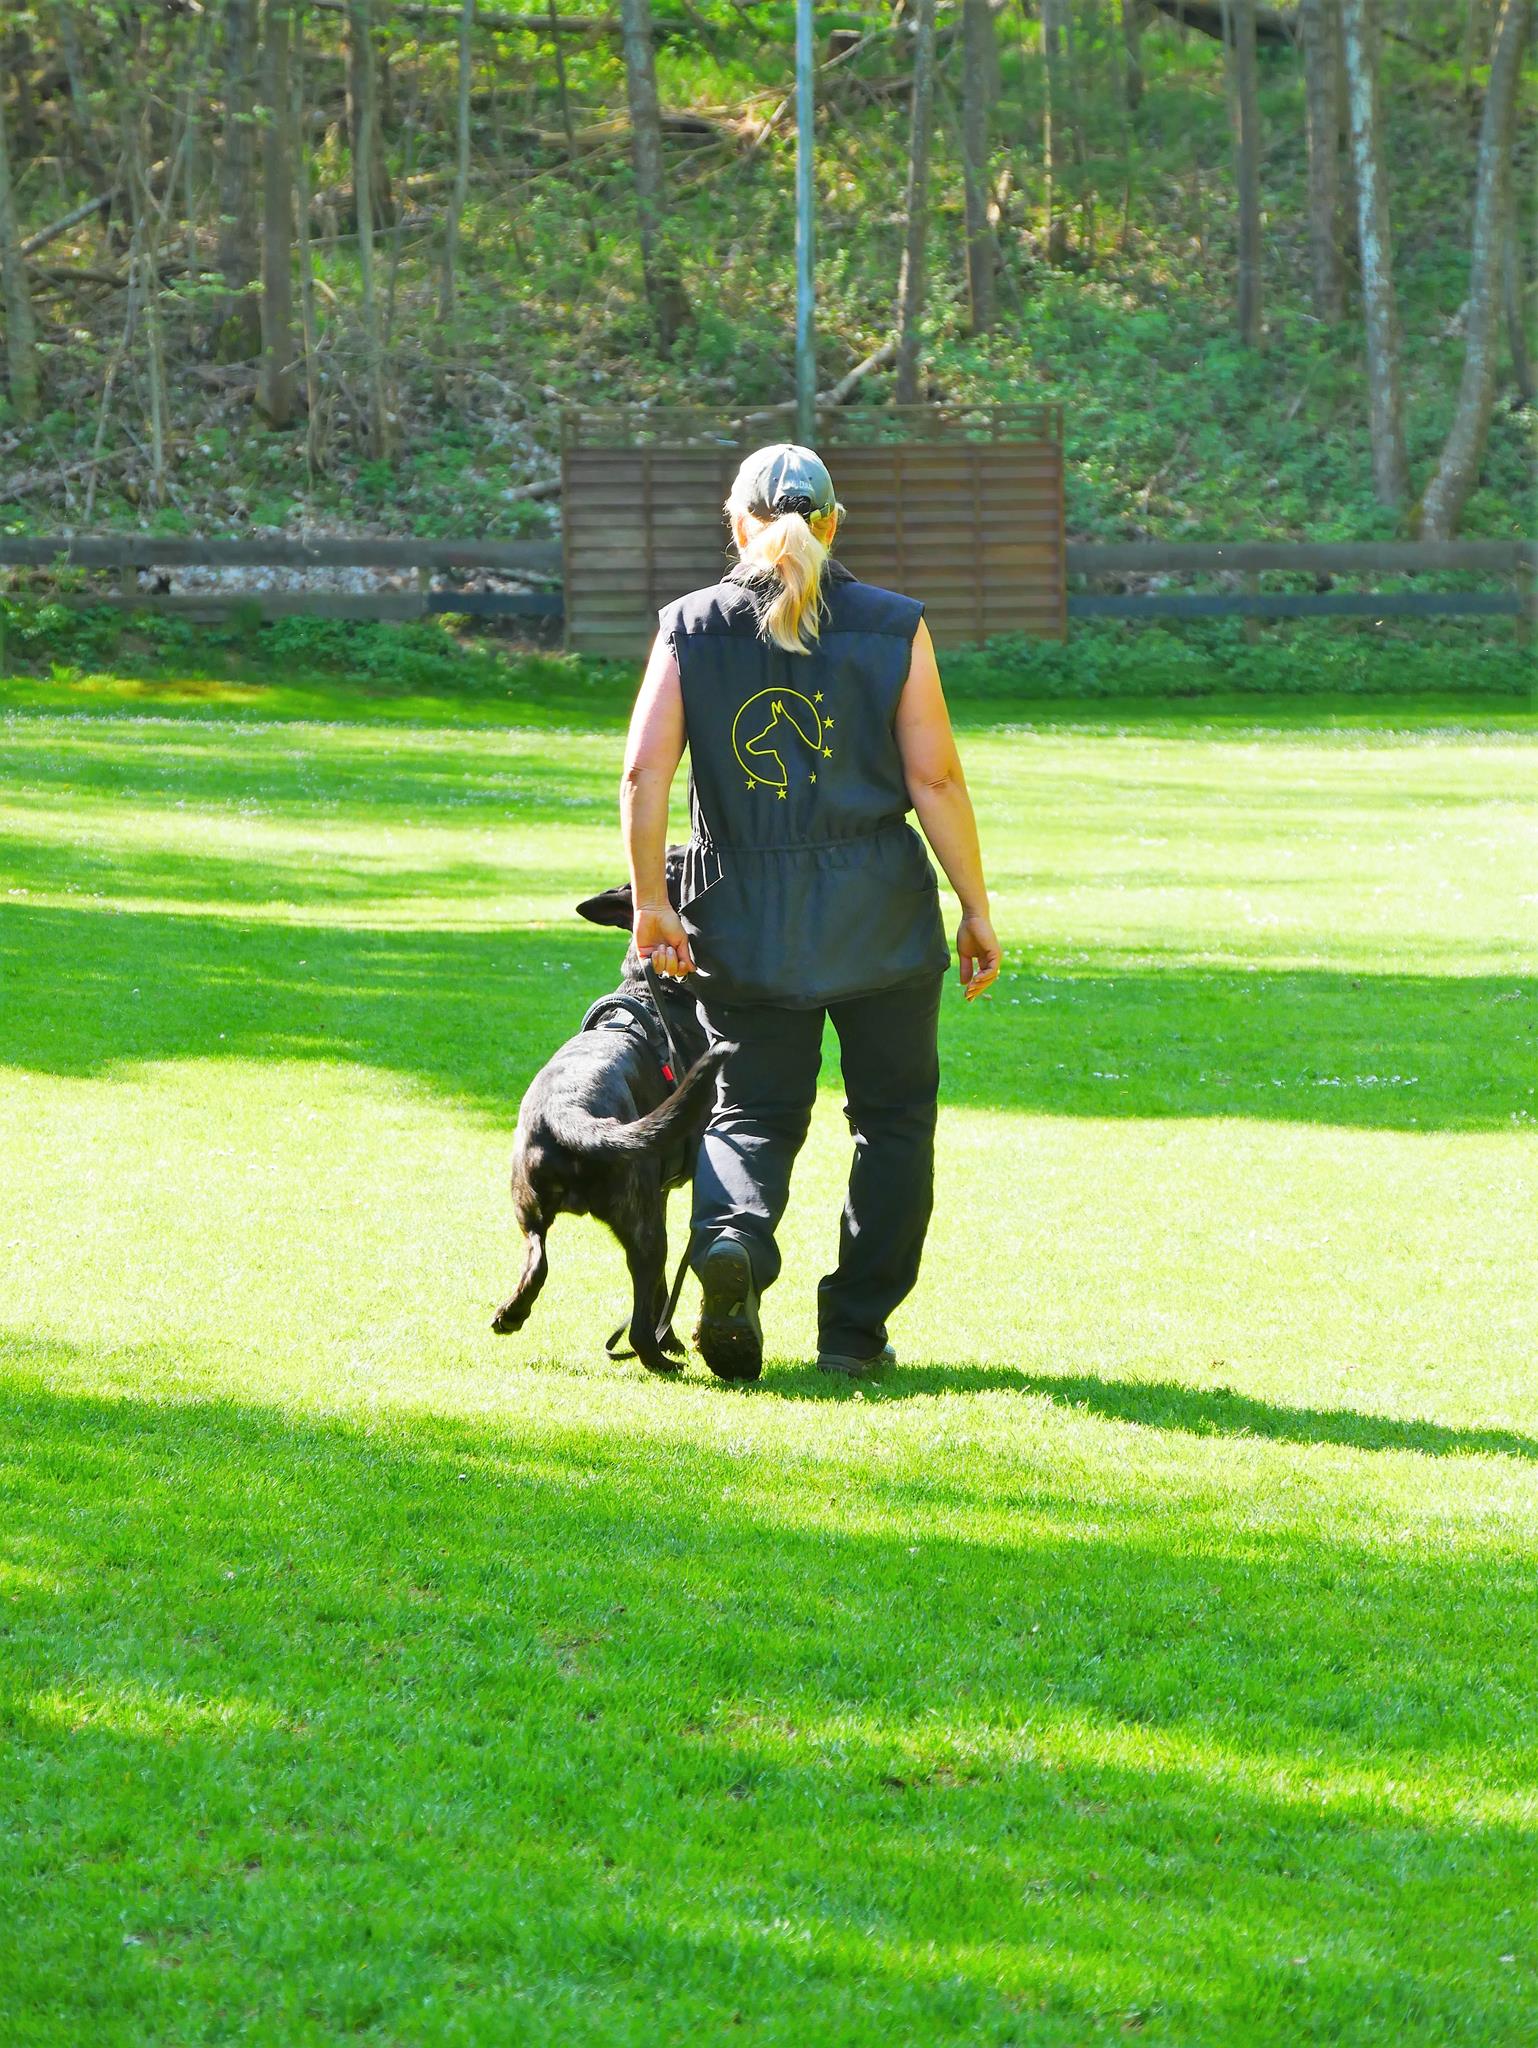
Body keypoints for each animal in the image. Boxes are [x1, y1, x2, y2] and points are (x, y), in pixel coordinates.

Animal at [492, 850, 726, 1374]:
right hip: (644, 1226)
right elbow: (661, 1289)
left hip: (530, 1207)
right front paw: (671, 1340)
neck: (653, 988)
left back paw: (511, 1314)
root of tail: (568, 1113)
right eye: (677, 861)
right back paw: (658, 1356)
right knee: (639, 1315)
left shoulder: (659, 1195)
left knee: (537, 1261)